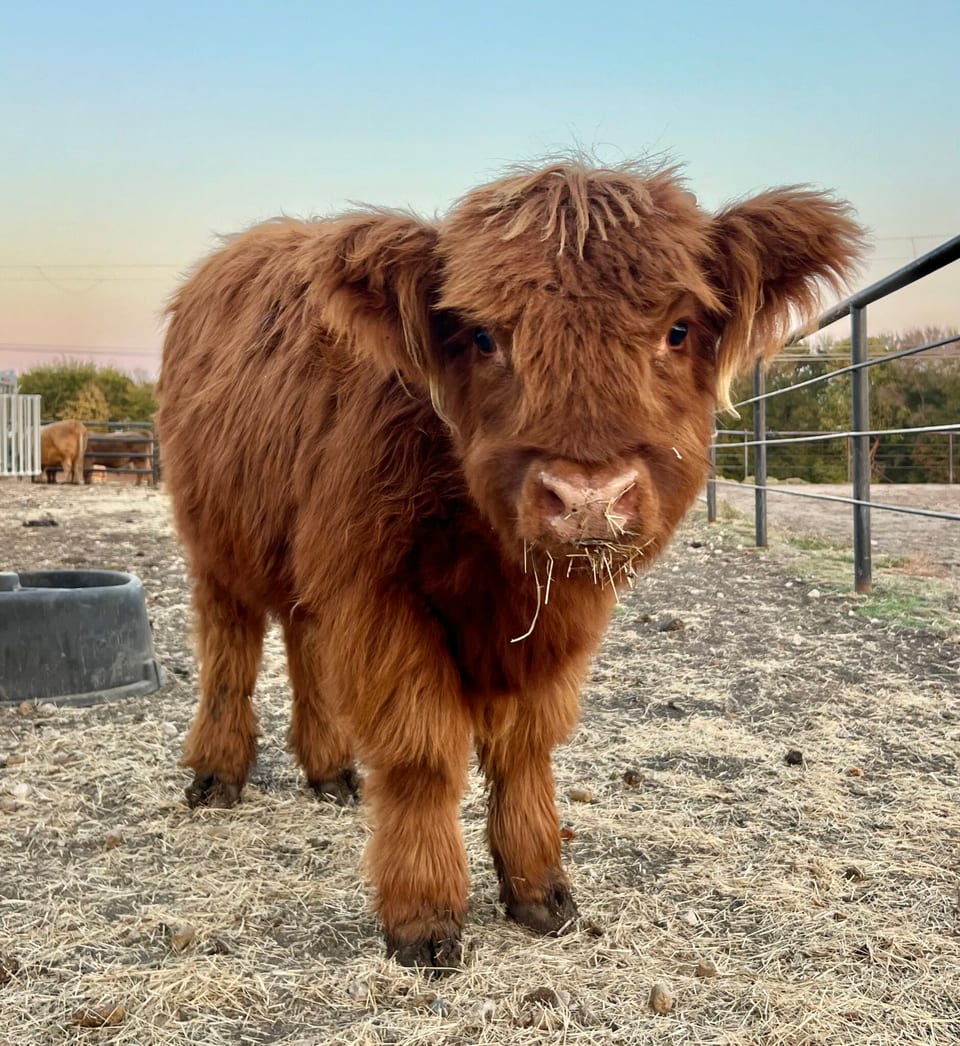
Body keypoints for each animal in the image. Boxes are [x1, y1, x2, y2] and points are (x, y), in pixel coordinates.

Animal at [157, 159, 864, 971]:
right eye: (484, 336)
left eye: (678, 329)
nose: (589, 498)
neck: (493, 560)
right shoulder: (376, 593)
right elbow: (424, 751)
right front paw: (424, 915)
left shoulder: (548, 621)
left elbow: (526, 746)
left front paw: (540, 890)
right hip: (217, 542)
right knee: (231, 646)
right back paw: (217, 774)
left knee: (305, 644)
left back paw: (330, 771)